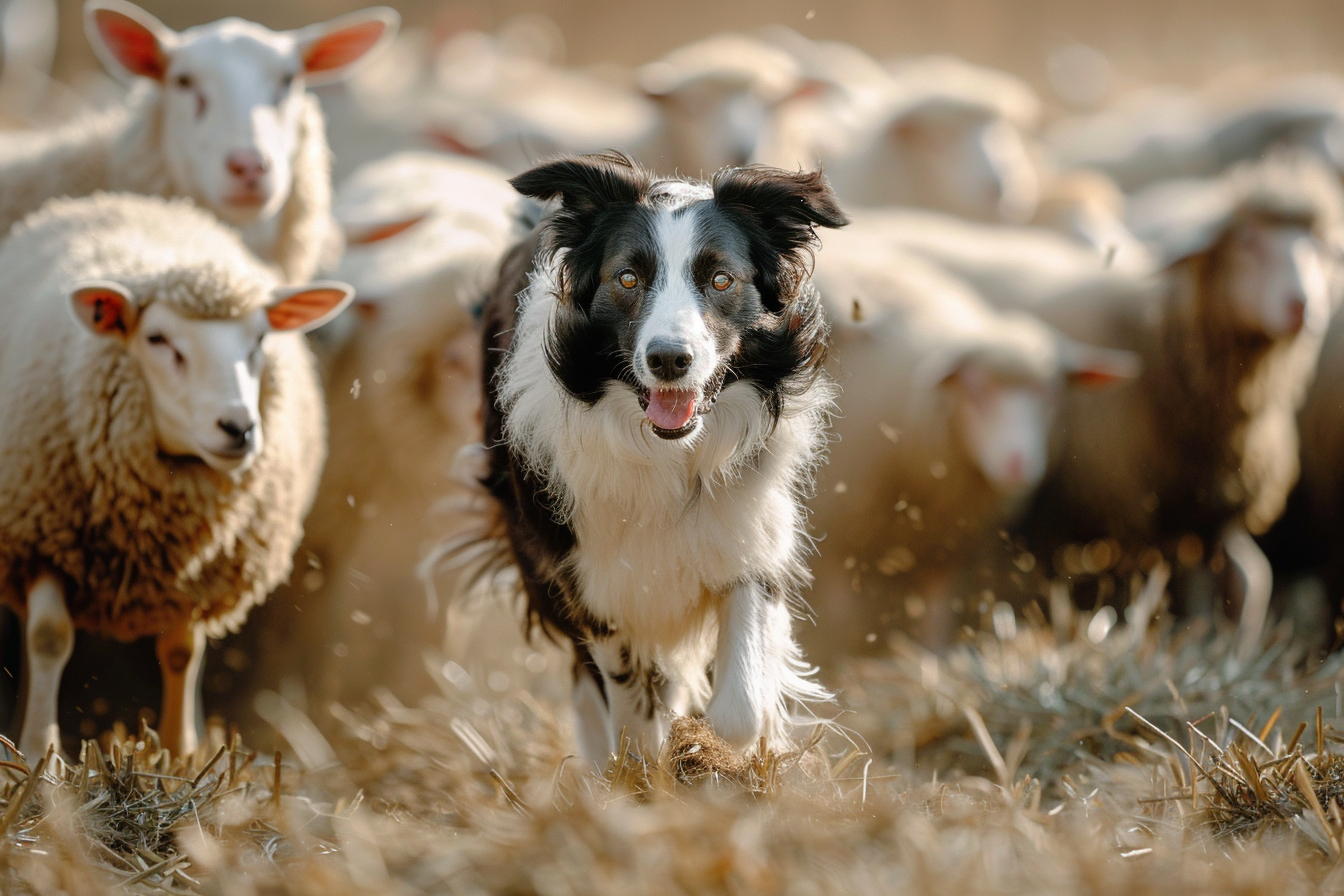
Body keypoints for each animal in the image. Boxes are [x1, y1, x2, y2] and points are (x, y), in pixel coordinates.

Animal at [0, 192, 353, 759]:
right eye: (157, 338)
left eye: (260, 339)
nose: (238, 427)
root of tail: (128, 200)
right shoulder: (42, 541)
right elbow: (49, 637)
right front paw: (39, 755)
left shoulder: (193, 575)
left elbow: (182, 652)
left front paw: (180, 750)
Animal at [807, 236, 1137, 653]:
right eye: (976, 390)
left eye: (1052, 393)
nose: (1019, 464)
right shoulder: (836, 539)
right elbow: (839, 620)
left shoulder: (947, 547)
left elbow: (936, 613)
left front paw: (933, 657)